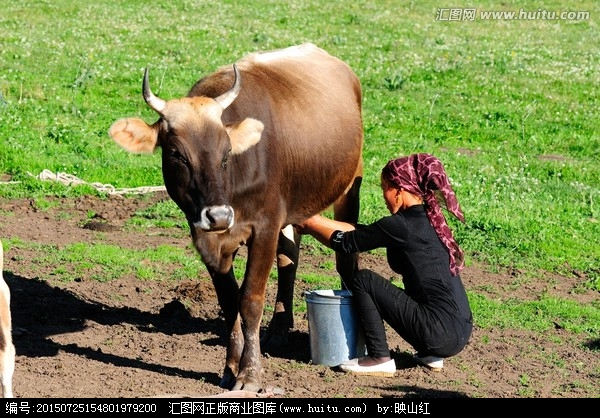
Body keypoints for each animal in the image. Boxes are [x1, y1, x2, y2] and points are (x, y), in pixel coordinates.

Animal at [109, 43, 364, 392]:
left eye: (226, 152)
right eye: (177, 154)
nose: (218, 215)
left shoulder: (266, 225)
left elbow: (250, 300)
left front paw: (250, 375)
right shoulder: (206, 238)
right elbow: (229, 302)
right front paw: (230, 367)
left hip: (350, 185)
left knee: (344, 257)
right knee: (290, 259)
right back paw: (279, 331)